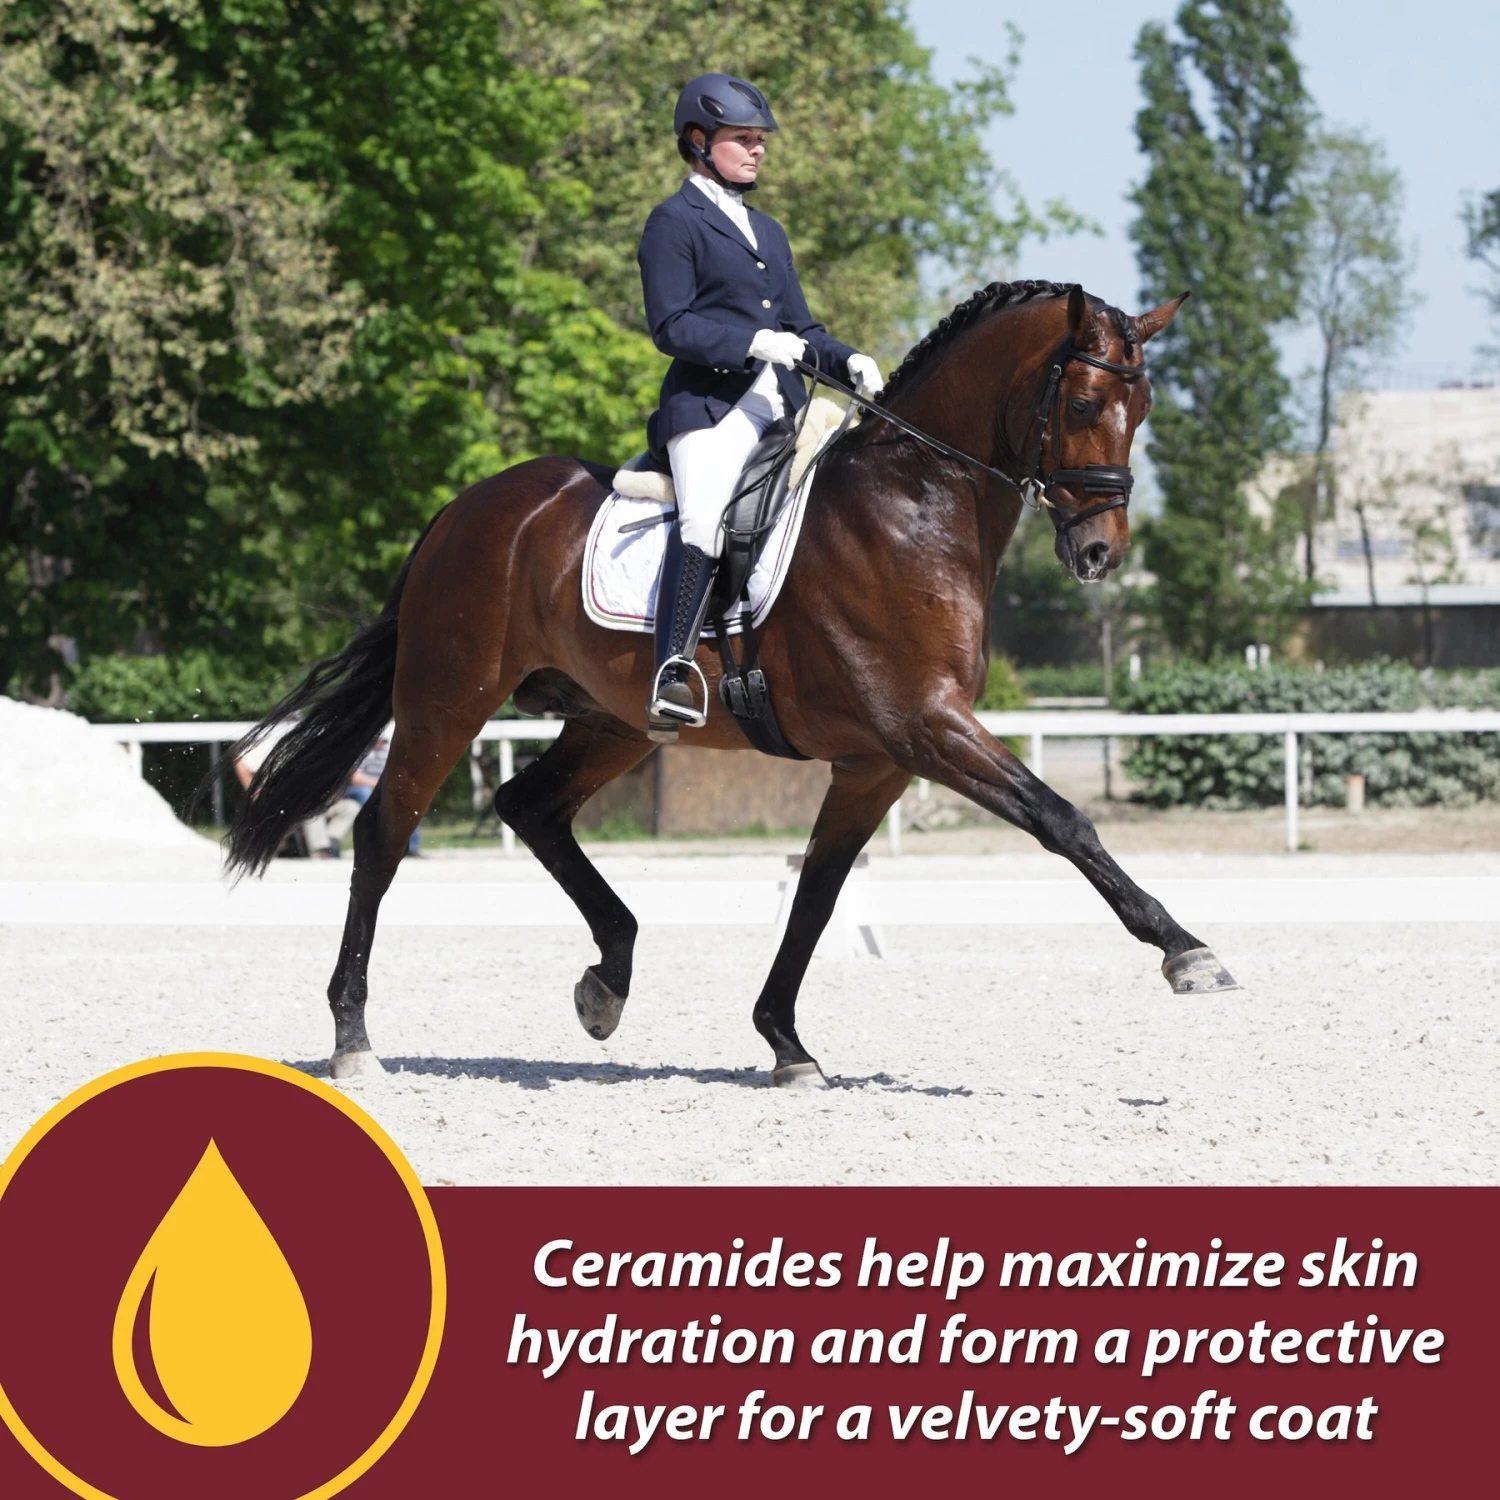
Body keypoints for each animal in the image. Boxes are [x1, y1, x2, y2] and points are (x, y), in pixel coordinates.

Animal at [225, 279, 1238, 1088]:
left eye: (1144, 404)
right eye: (1083, 399)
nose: (1101, 553)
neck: (914, 506)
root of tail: (464, 507)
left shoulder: (877, 762)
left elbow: (819, 895)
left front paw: (785, 1044)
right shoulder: (928, 727)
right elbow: (1064, 820)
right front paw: (1187, 953)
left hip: (612, 721)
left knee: (529, 807)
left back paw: (608, 979)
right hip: (448, 698)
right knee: (383, 833)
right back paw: (355, 1040)